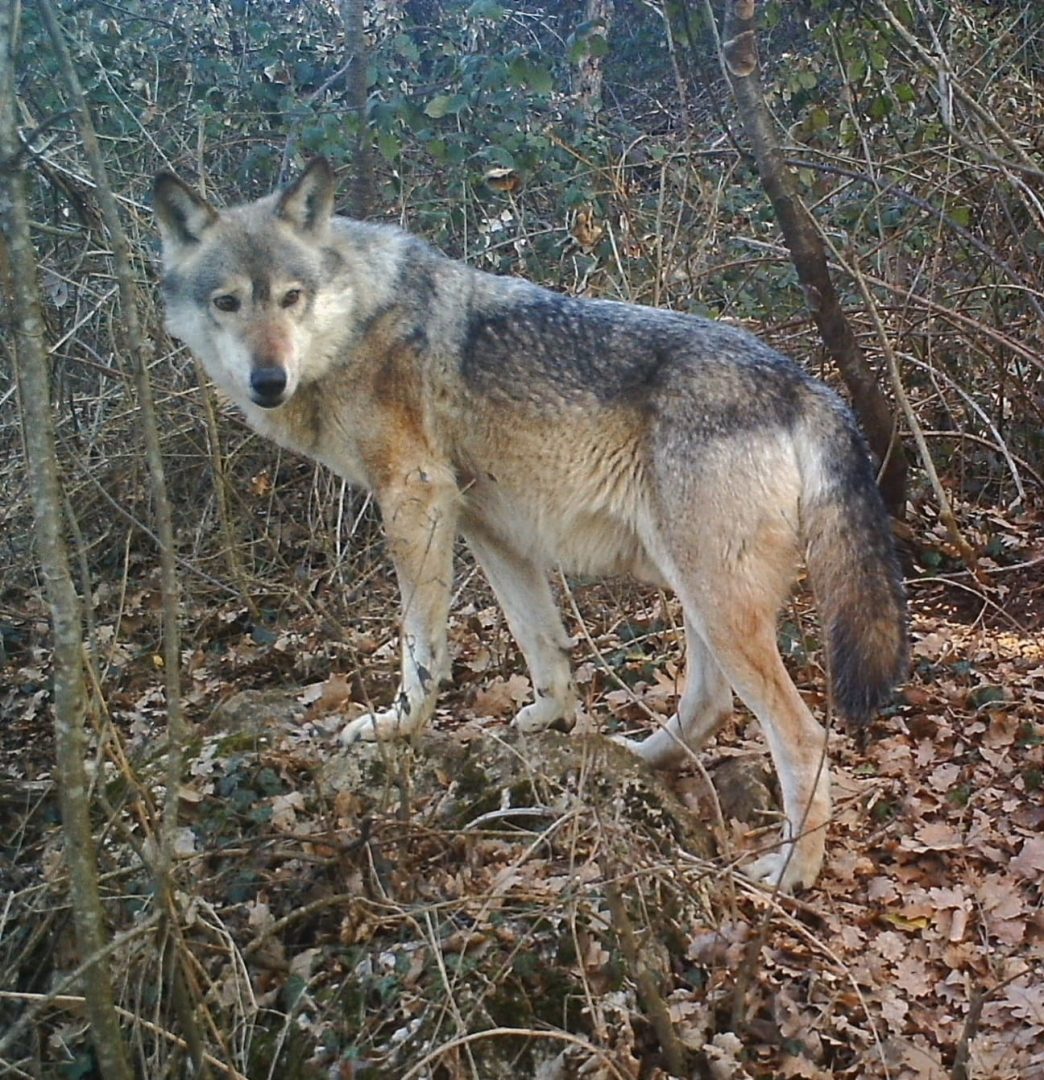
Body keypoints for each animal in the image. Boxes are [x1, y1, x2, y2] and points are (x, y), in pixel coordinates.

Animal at [153, 158, 906, 891]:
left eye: (291, 297)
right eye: (227, 302)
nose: (267, 379)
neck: (359, 318)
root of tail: (805, 386)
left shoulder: (414, 500)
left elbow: (422, 648)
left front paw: (397, 726)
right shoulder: (491, 529)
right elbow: (541, 643)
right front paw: (551, 720)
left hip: (715, 600)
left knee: (802, 737)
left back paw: (791, 872)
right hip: (696, 592)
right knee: (708, 705)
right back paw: (633, 755)